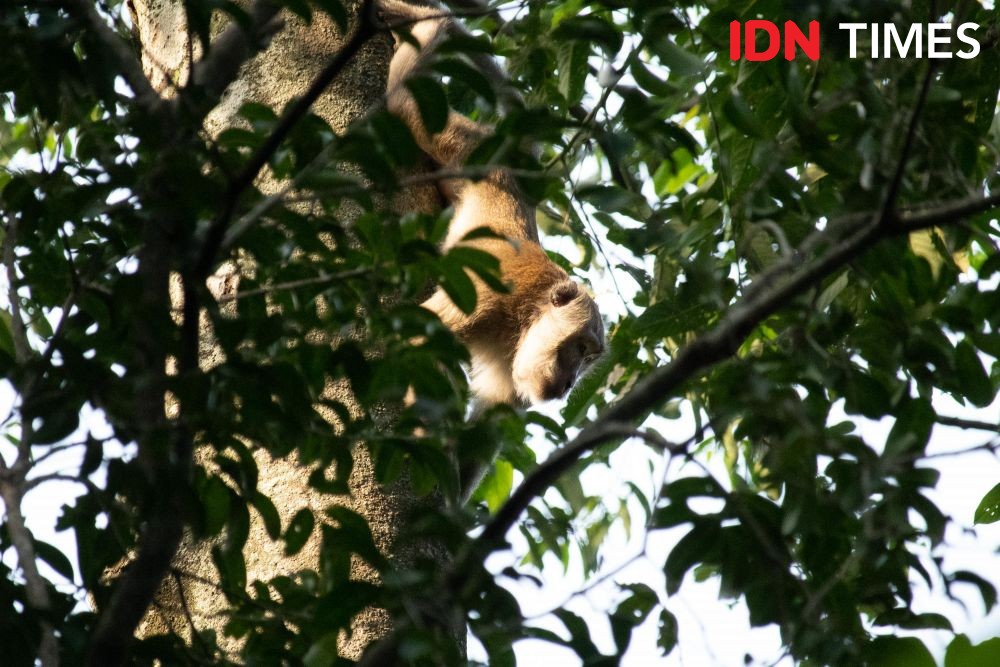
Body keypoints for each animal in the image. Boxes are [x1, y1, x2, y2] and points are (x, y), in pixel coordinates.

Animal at [376, 0, 604, 410]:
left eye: (588, 358)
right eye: (579, 348)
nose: (568, 384)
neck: (527, 313)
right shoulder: (488, 292)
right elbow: (415, 333)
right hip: (473, 152)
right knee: (405, 104)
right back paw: (421, 19)